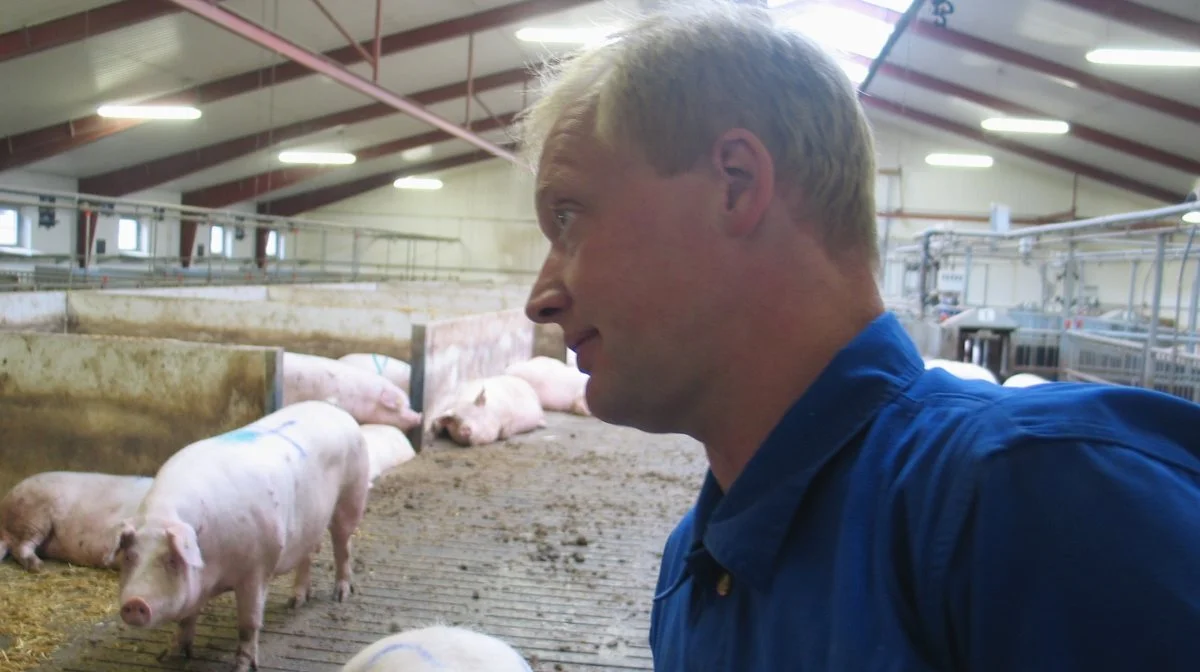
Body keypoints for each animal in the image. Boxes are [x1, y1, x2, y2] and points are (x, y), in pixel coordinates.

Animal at [112, 400, 374, 667]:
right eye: (129, 557)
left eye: (172, 560)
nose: (135, 604)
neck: (214, 570)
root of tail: (331, 405)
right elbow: (186, 619)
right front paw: (170, 656)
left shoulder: (257, 568)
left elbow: (249, 623)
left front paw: (243, 666)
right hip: (308, 526)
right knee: (308, 556)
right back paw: (295, 602)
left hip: (352, 497)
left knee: (343, 546)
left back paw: (340, 595)